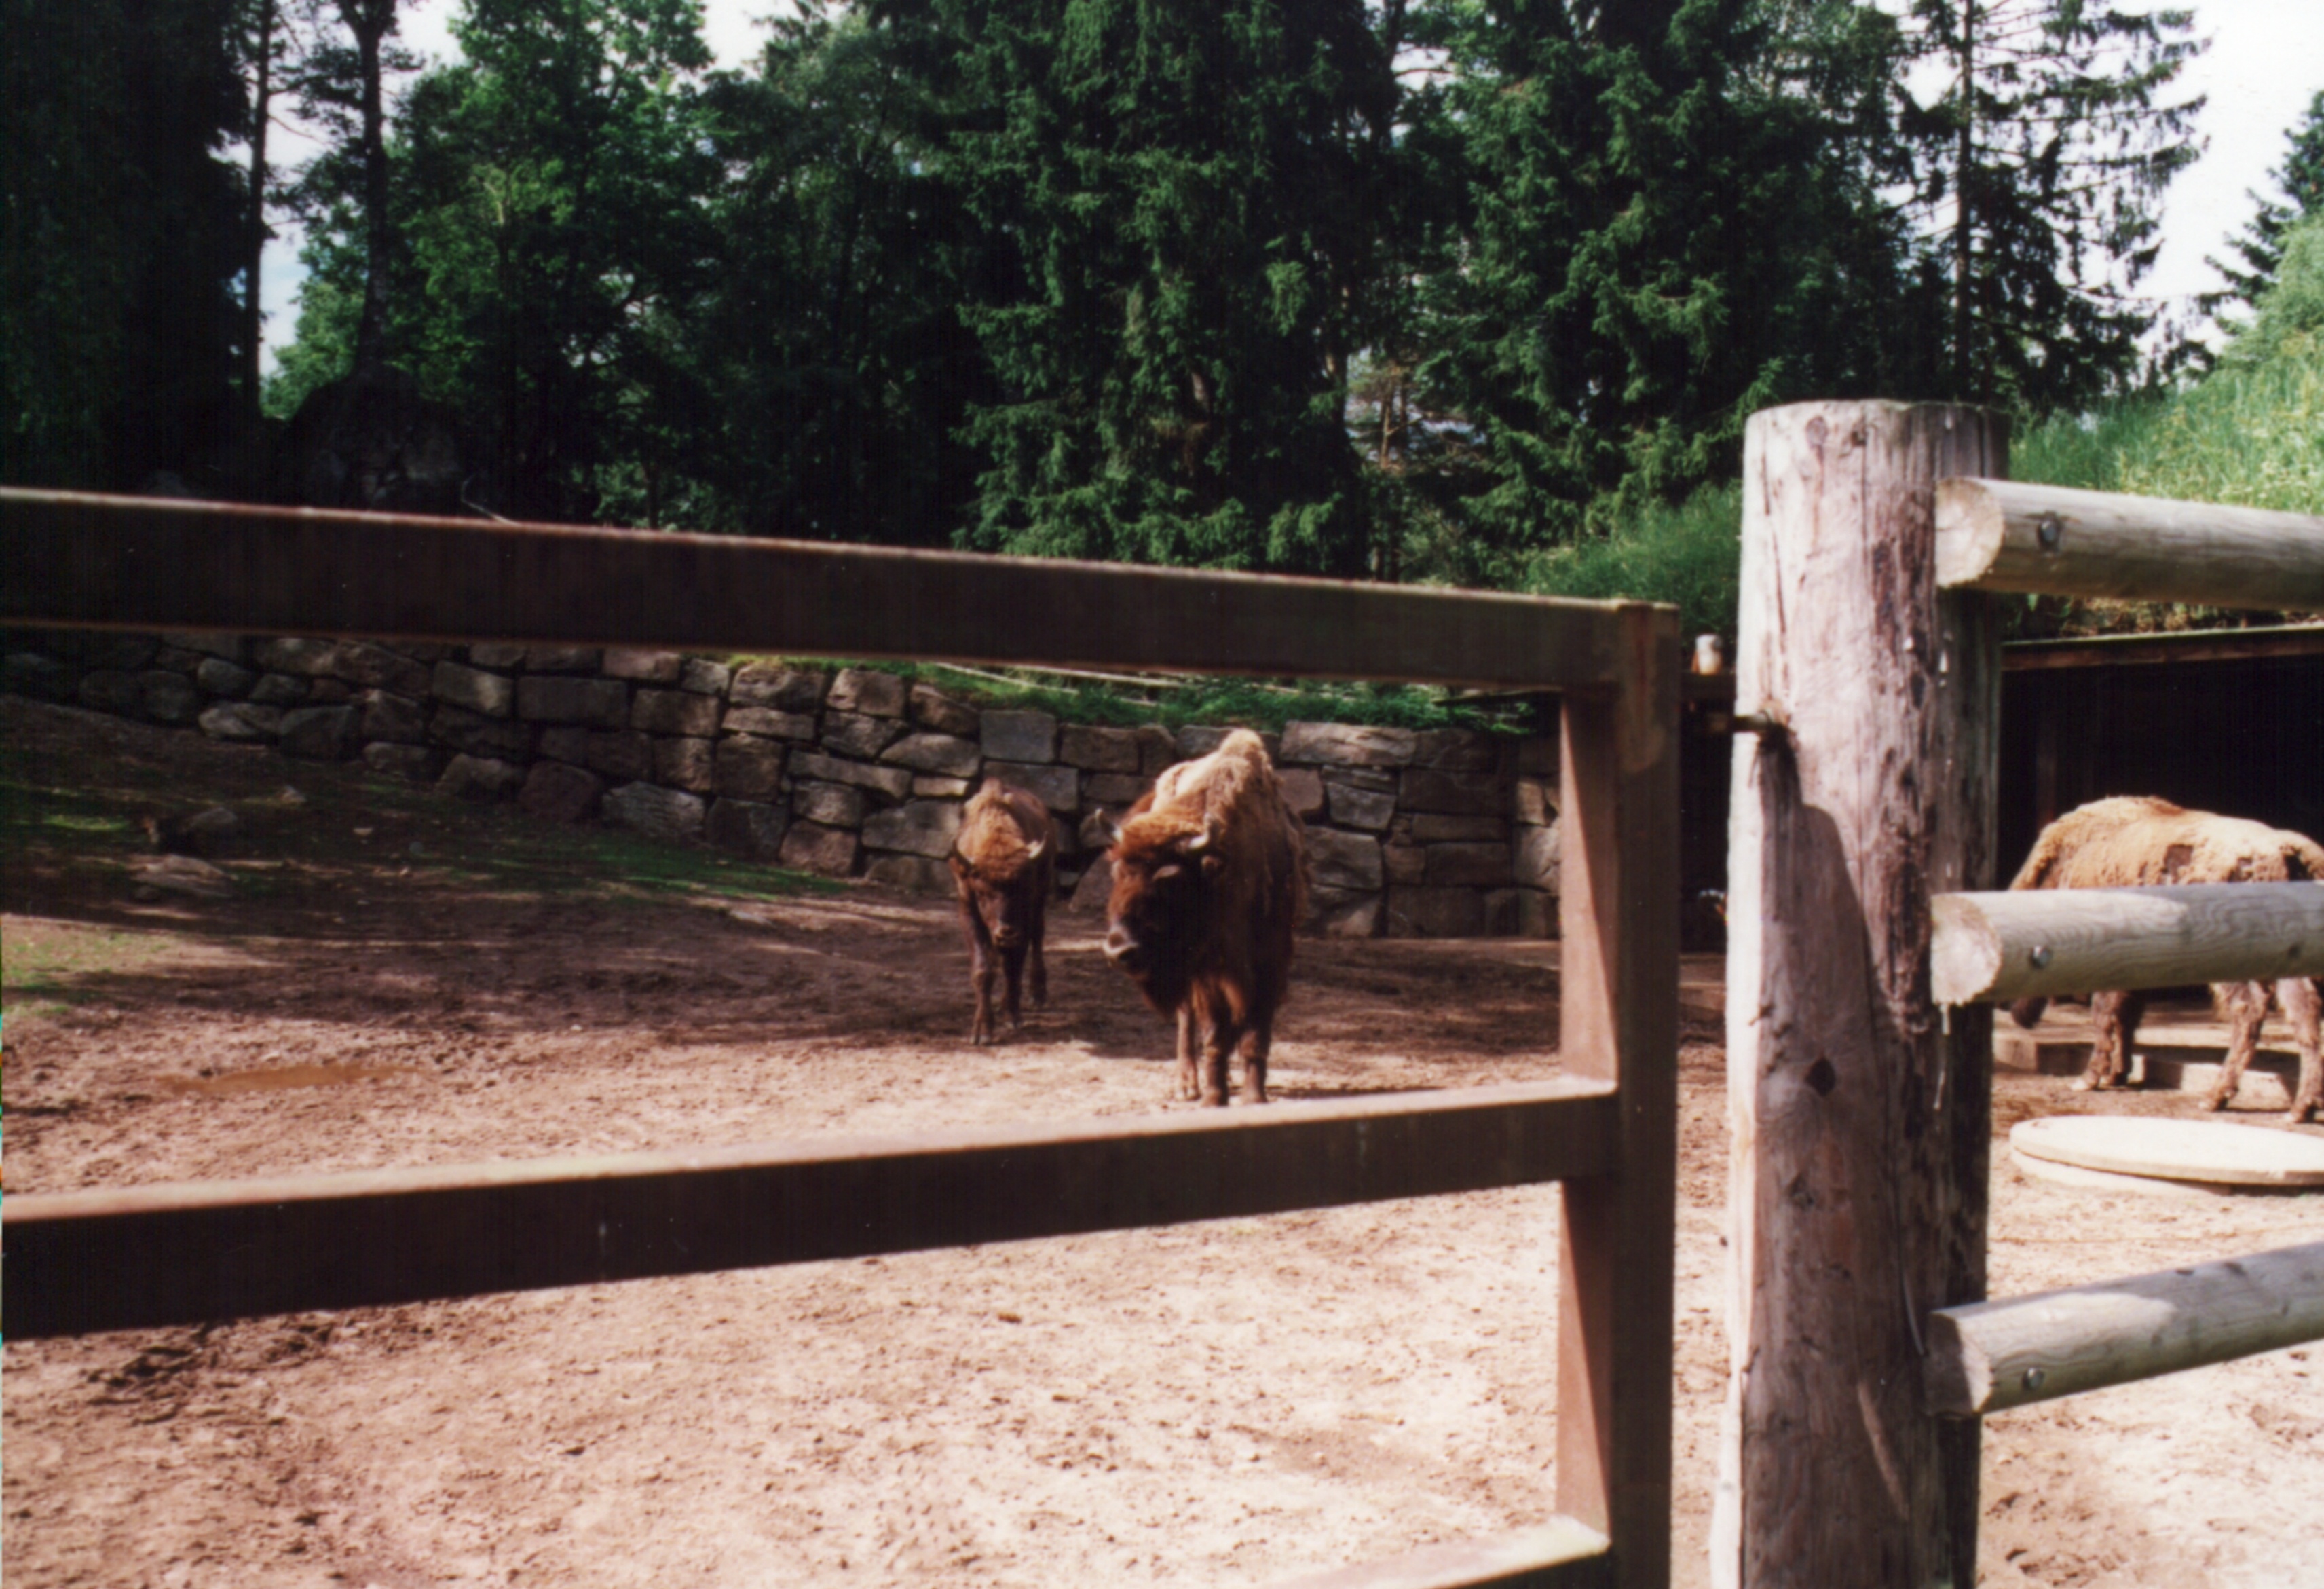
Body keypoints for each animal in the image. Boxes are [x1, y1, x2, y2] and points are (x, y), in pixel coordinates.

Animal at [943, 780, 1055, 1049]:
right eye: (982, 893)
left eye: (1023, 888)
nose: (1007, 932)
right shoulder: (968, 910)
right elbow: (983, 970)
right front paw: (983, 1031)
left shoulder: (1027, 912)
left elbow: (1014, 964)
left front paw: (1013, 1016)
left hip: (1042, 897)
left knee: (1037, 938)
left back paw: (1037, 994)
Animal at [1097, 729, 1301, 1106]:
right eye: (1117, 872)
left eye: (1170, 879)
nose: (1119, 952)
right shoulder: (1209, 972)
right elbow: (1215, 1034)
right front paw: (1214, 1098)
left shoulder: (1270, 962)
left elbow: (1256, 1034)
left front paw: (1254, 1098)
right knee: (1186, 1018)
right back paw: (1187, 1084)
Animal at [1998, 789, 2324, 1115]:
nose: (2008, 1007)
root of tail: (2288, 851)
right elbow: (2126, 1019)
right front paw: (2118, 1074)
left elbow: (2104, 1015)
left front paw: (2089, 1079)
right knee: (2303, 1011)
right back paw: (2300, 1109)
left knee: (2250, 1010)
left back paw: (2213, 1098)